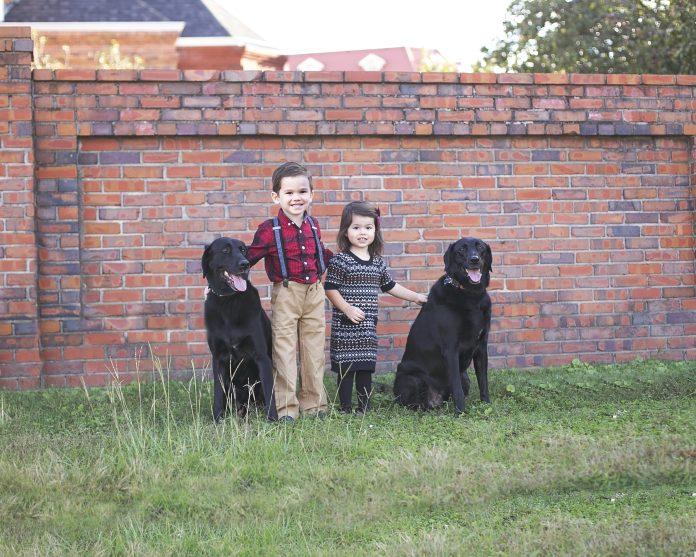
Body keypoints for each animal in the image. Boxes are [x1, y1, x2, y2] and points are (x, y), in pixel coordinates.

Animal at [201, 236, 278, 422]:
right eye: (225, 250)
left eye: (243, 250)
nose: (245, 264)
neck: (228, 301)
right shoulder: (218, 358)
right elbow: (218, 394)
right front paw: (217, 419)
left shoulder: (261, 357)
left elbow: (269, 391)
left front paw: (273, 420)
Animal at [392, 238, 494, 412]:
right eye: (461, 249)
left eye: (480, 247)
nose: (474, 260)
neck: (471, 294)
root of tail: (437, 399)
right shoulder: (451, 349)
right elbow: (457, 388)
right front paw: (461, 412)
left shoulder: (481, 347)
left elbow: (483, 381)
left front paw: (486, 404)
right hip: (411, 378)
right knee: (414, 405)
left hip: (465, 377)